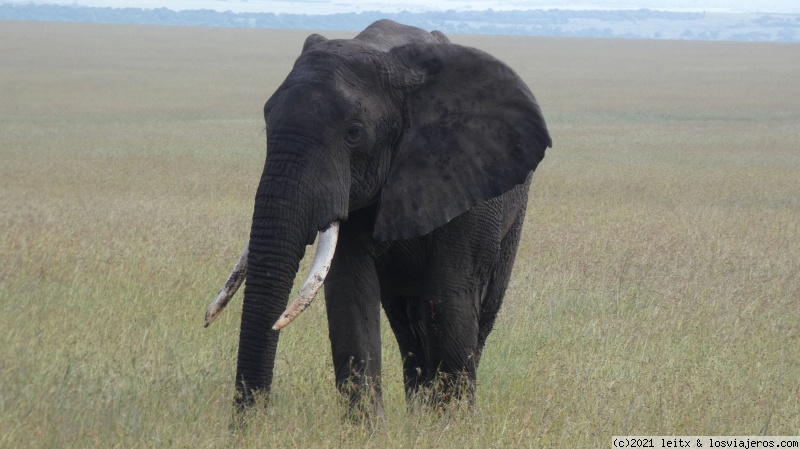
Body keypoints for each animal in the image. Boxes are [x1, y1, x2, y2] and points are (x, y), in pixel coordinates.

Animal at [203, 21, 552, 412]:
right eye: (266, 124)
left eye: (354, 133)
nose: (250, 420)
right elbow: (351, 297)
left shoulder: (468, 179)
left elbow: (451, 297)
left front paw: (452, 422)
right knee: (407, 325)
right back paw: (418, 412)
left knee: (474, 314)